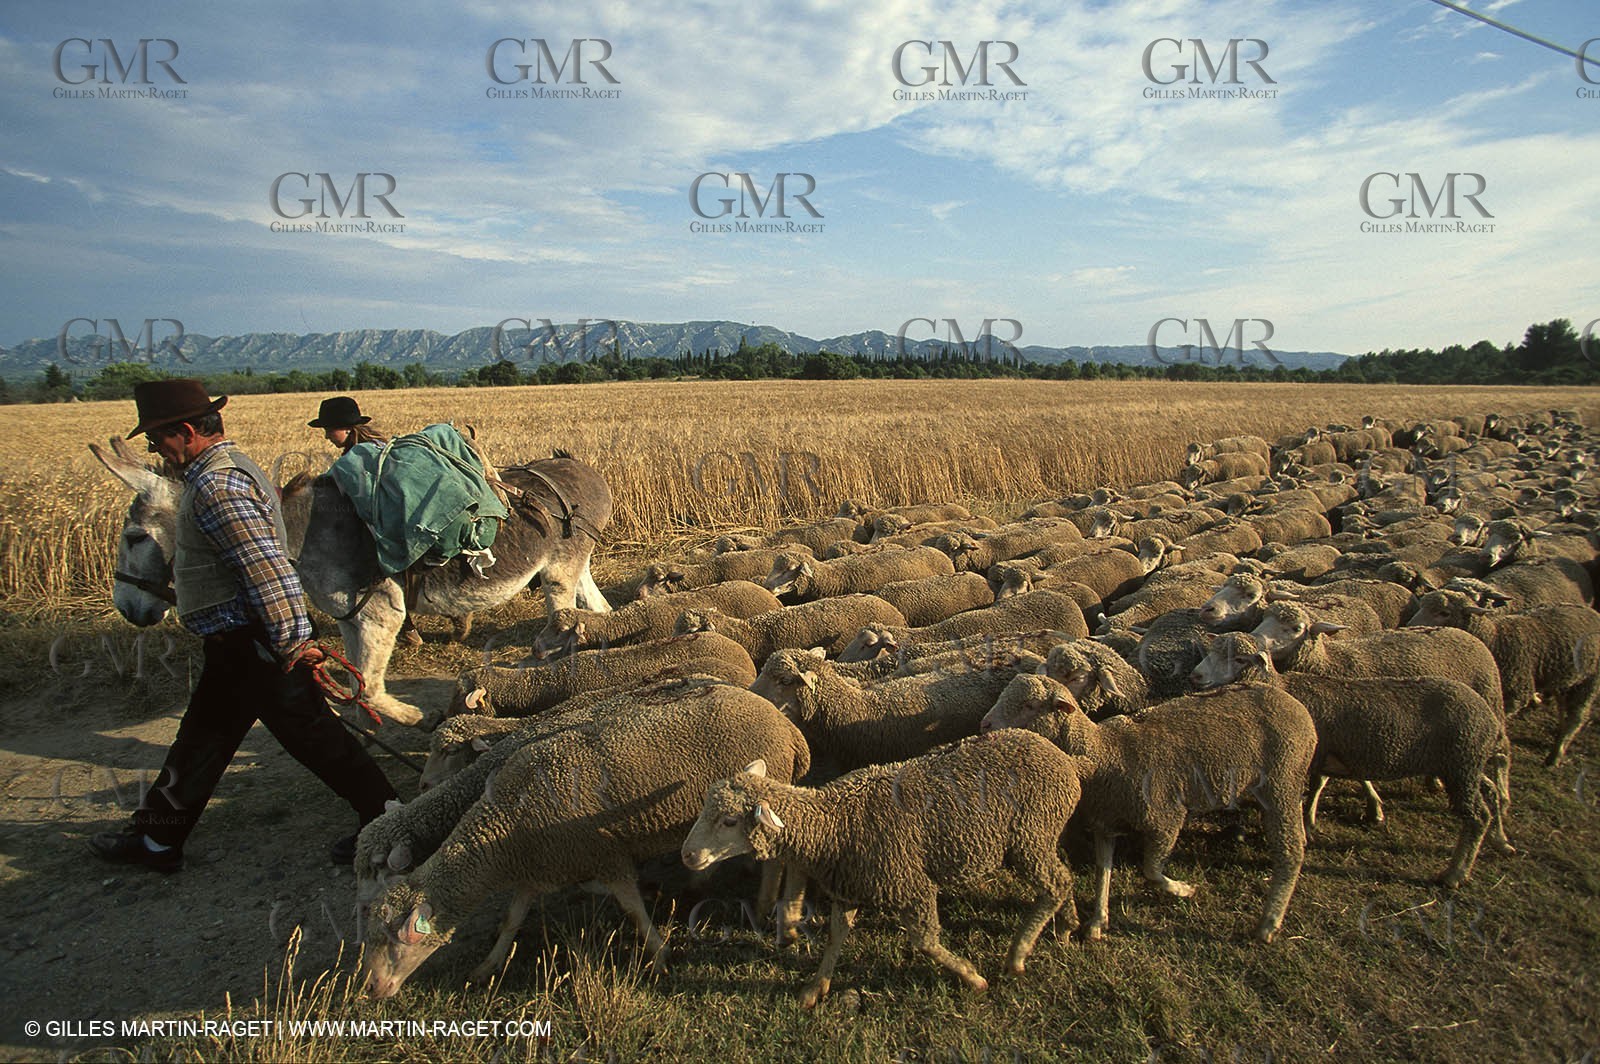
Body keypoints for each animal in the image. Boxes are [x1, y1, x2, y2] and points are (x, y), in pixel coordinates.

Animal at [361, 683, 812, 997]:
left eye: (395, 940)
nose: (370, 989)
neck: (505, 829)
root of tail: (785, 725)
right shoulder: (537, 870)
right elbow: (511, 919)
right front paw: (487, 966)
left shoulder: (605, 854)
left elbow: (633, 910)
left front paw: (660, 954)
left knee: (773, 857)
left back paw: (765, 905)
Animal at [680, 730, 1082, 1006]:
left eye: (730, 821)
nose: (688, 856)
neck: (835, 824)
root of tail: (1063, 760)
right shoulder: (850, 887)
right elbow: (835, 937)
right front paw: (815, 988)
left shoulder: (911, 884)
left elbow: (925, 942)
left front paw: (972, 978)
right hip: (1041, 837)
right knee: (1063, 876)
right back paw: (1066, 924)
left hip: (1030, 836)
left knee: (1055, 884)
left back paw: (1017, 956)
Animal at [982, 673, 1315, 943]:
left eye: (1030, 705)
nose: (985, 725)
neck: (1103, 753)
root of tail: (1294, 703)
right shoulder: (1105, 824)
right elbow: (1104, 871)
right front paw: (1098, 921)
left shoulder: (1165, 818)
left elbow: (1152, 871)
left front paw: (1183, 889)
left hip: (1281, 782)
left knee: (1291, 849)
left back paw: (1269, 922)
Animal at [1190, 632, 1514, 885]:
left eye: (1239, 659)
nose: (1196, 675)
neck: (1282, 689)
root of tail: (1487, 716)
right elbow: (1320, 786)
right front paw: (1310, 822)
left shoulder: (1309, 755)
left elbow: (1311, 788)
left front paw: (1303, 826)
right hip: (1464, 765)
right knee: (1489, 792)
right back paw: (1499, 838)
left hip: (1461, 763)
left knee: (1477, 815)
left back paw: (1455, 873)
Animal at [1407, 590, 1600, 764]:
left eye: (1444, 613)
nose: (1409, 626)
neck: (1496, 639)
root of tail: (1594, 613)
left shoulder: (1518, 692)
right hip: (1565, 680)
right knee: (1563, 706)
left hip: (1591, 678)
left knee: (1578, 715)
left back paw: (1556, 755)